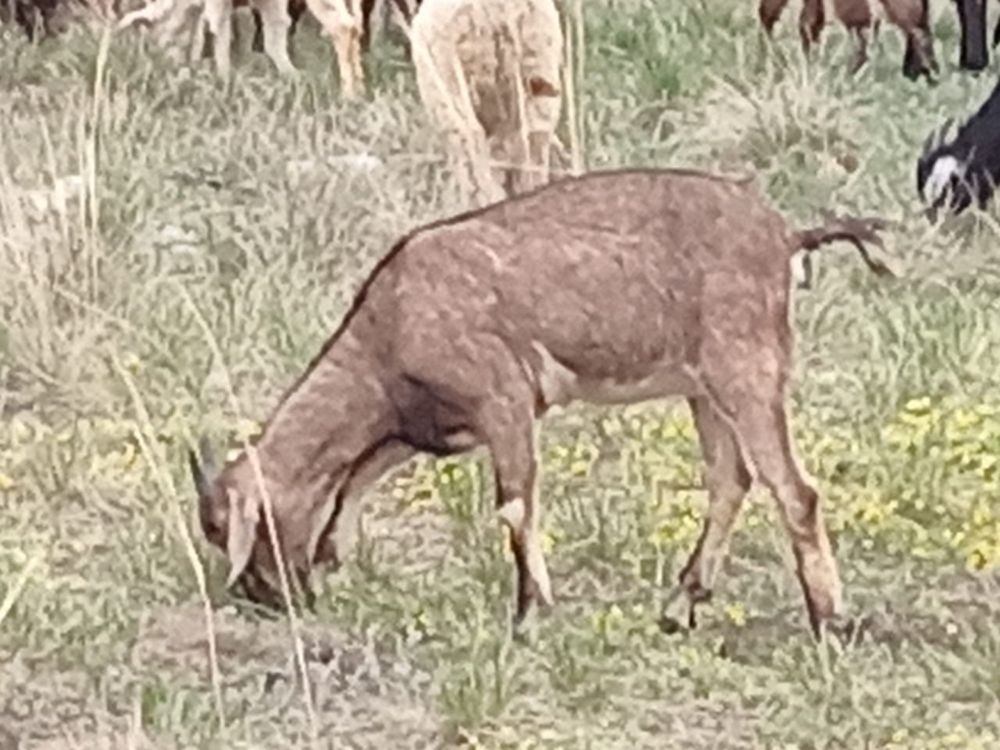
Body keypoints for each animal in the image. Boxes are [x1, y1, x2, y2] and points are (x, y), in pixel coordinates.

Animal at [188, 169, 892, 640]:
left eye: (233, 526)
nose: (263, 597)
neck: (390, 321)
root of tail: (787, 236)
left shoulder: (504, 399)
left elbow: (514, 505)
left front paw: (529, 614)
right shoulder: (420, 427)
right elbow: (353, 485)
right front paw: (333, 563)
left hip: (746, 367)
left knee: (794, 490)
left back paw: (830, 621)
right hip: (703, 388)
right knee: (730, 480)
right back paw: (680, 607)